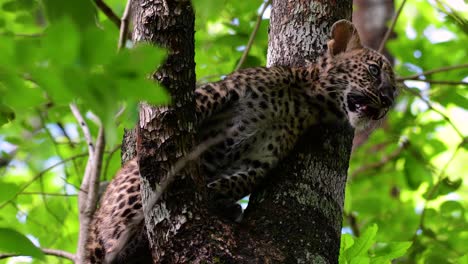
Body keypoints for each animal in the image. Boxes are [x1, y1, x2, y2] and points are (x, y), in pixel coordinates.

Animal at [86, 19, 396, 262]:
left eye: (394, 90)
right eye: (374, 70)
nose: (388, 100)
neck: (303, 102)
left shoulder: (261, 158)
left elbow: (237, 181)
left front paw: (216, 195)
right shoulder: (219, 92)